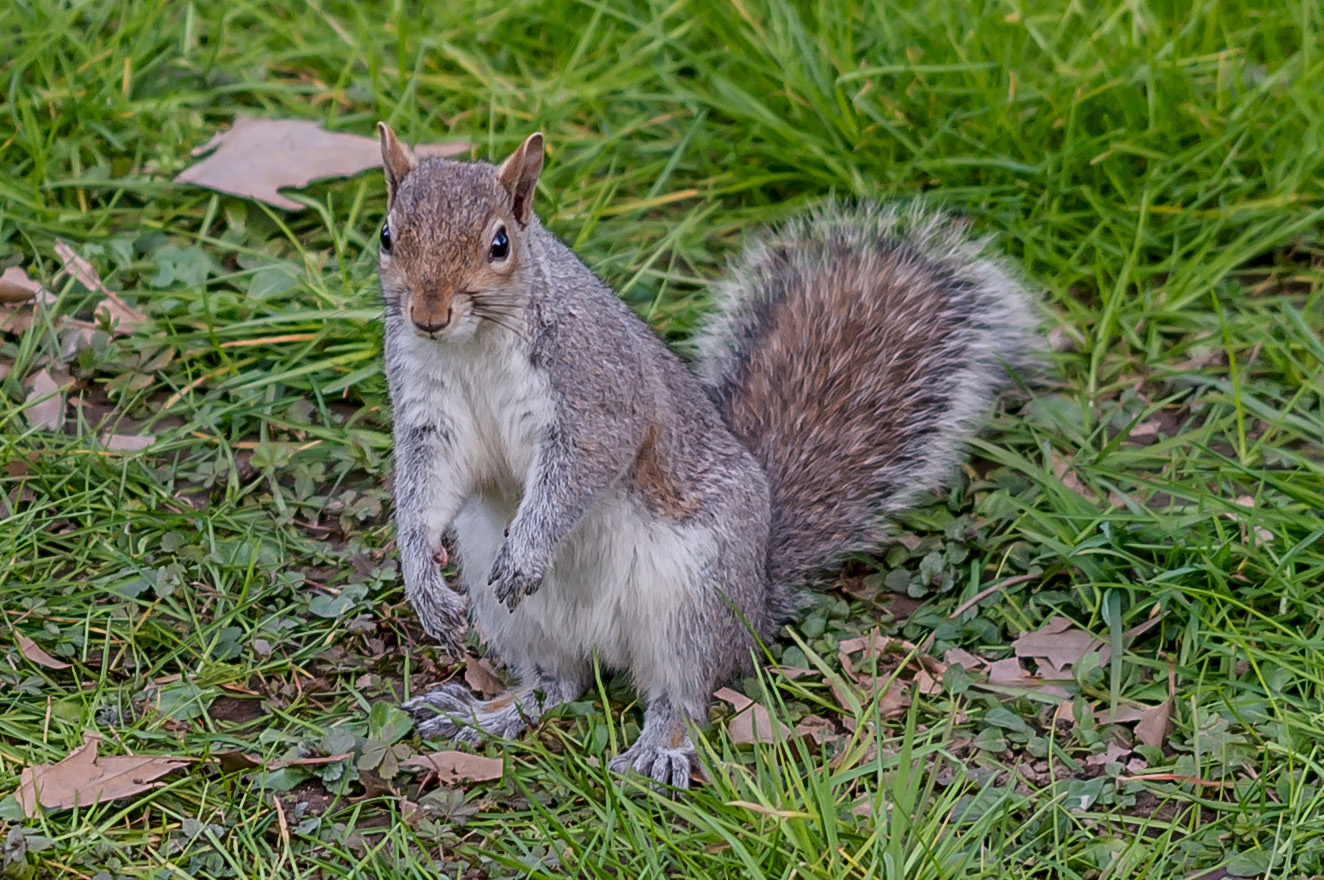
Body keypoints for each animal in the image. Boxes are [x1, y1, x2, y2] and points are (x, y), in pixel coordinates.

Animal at [376, 123, 1040, 789]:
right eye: (386, 235)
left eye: (500, 244)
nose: (428, 315)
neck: (476, 343)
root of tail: (754, 603)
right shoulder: (431, 417)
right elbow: (427, 488)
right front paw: (421, 578)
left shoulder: (598, 392)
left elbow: (581, 468)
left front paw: (527, 553)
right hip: (513, 609)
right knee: (555, 684)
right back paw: (488, 714)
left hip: (692, 604)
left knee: (685, 695)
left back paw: (660, 747)